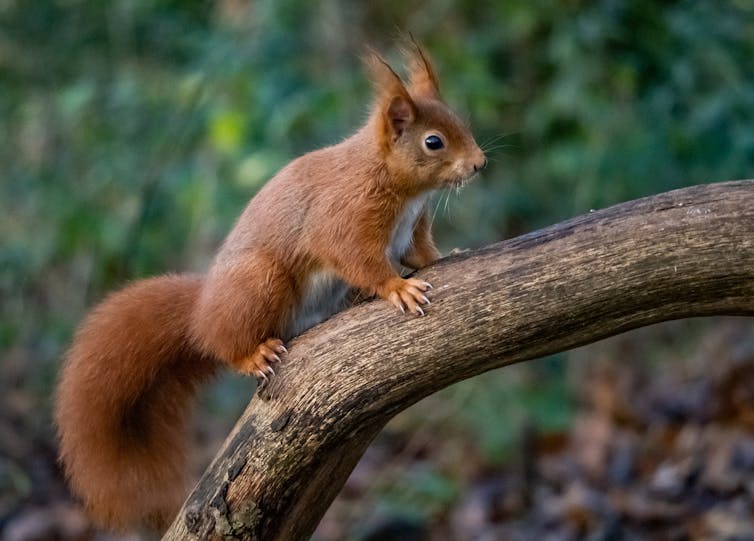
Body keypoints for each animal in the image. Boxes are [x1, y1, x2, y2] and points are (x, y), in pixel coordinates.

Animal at [54, 43, 488, 532]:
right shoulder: (343, 214)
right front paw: (396, 287)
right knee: (224, 343)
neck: (398, 185)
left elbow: (421, 252)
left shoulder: (410, 229)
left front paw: (446, 255)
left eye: (460, 122)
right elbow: (355, 256)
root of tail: (201, 309)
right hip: (259, 282)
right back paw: (253, 354)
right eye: (433, 141)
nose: (480, 163)